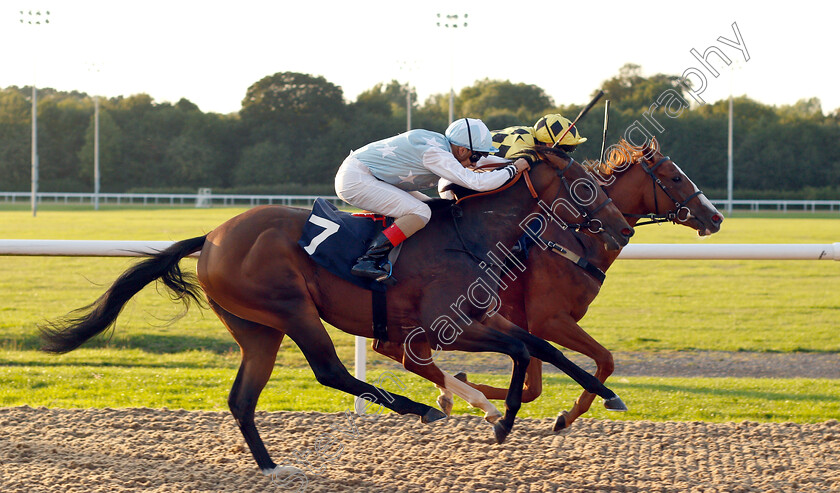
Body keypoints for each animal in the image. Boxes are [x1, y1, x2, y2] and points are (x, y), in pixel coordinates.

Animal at [39, 145, 632, 476]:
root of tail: (211, 236)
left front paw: (601, 396)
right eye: (584, 179)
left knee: (242, 399)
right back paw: (418, 408)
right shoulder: (450, 323)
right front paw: (503, 419)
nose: (621, 227)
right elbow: (521, 351)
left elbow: (543, 347)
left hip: (258, 329)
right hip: (292, 309)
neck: (470, 234)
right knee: (329, 371)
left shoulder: (486, 316)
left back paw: (272, 467)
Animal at [372, 136, 720, 428]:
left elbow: (535, 386)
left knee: (394, 348)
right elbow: (603, 360)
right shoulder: (548, 319)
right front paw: (570, 413)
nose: (716, 217)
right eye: (675, 177)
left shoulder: (530, 323)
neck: (577, 241)